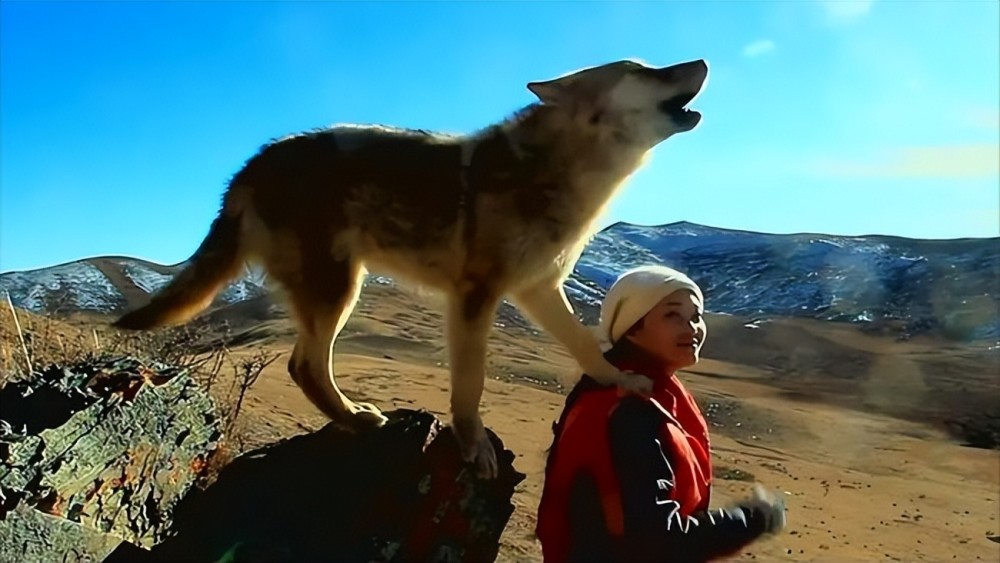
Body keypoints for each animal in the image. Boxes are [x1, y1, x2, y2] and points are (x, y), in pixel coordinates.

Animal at [115, 57, 712, 480]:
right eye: (642, 69)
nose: (705, 60)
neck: (564, 170)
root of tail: (250, 165)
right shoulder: (475, 295)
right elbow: (469, 386)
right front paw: (473, 446)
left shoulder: (540, 290)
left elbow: (587, 347)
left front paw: (623, 380)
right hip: (339, 289)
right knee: (304, 366)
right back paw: (357, 418)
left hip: (337, 289)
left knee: (302, 365)